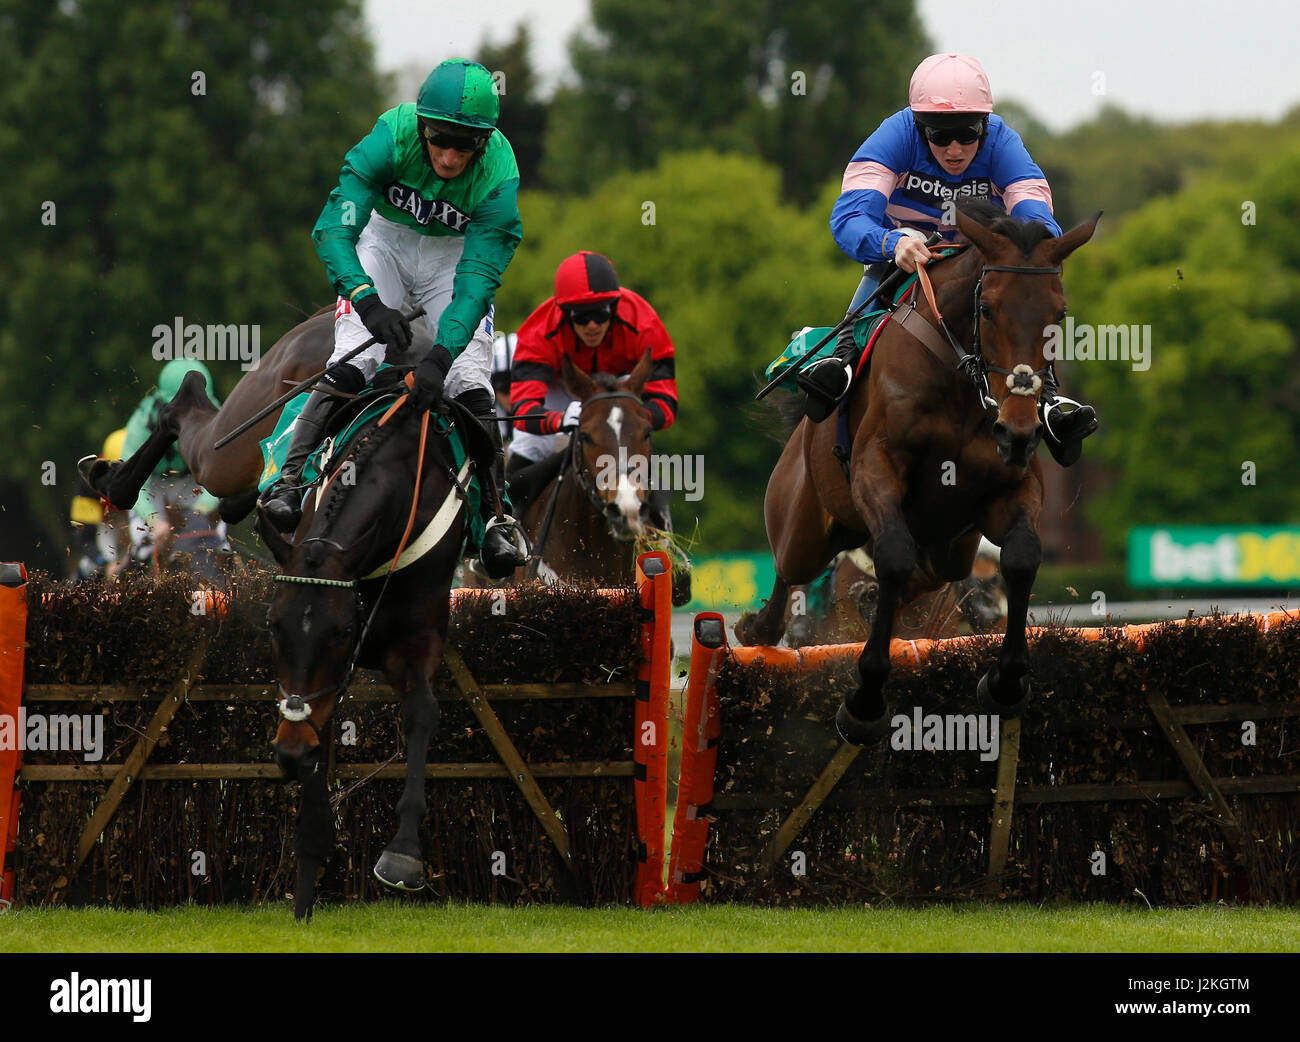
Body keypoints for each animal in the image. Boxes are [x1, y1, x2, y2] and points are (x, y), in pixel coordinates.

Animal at [78, 310, 483, 919]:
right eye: (273, 626)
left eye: (342, 631)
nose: (285, 754)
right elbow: (315, 726)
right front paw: (310, 861)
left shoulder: (415, 630)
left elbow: (419, 713)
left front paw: (402, 854)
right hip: (236, 441)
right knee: (188, 414)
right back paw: (114, 475)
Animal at [738, 201, 1102, 737]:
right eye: (988, 309)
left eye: (1058, 316)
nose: (1017, 430)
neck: (959, 380)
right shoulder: (877, 468)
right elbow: (893, 554)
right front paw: (865, 697)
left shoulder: (1010, 489)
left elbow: (1022, 558)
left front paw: (1006, 681)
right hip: (805, 525)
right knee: (789, 575)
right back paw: (755, 627)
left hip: (951, 547)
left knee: (925, 575)